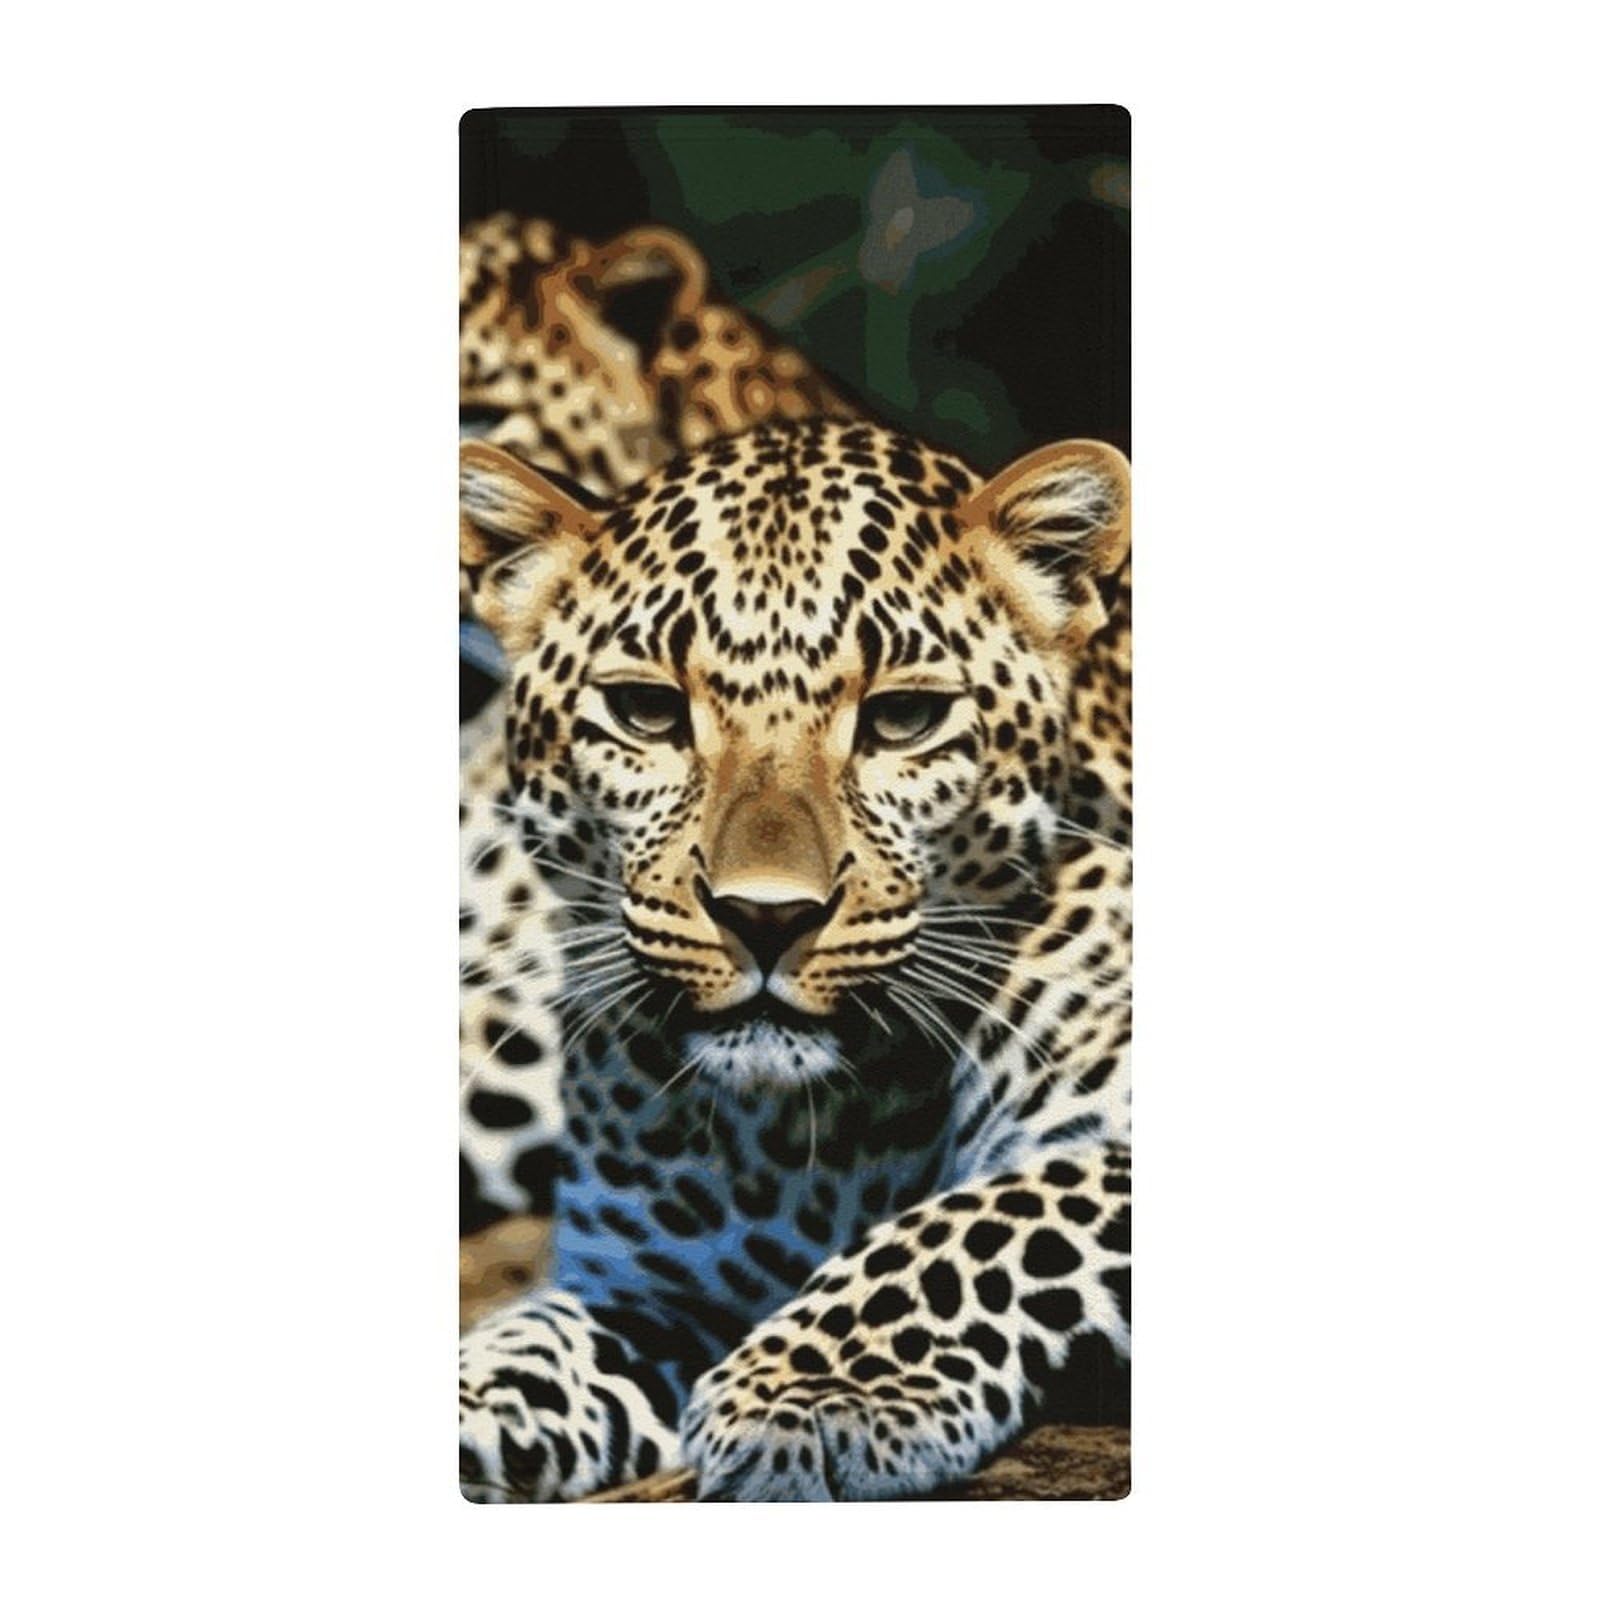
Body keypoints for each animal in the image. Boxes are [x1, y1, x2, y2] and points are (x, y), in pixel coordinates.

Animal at [457, 414, 1132, 1501]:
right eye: (646, 712)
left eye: (903, 719)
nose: (764, 917)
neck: (814, 1136)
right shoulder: (654, 1293)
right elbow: (531, 1342)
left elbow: (994, 1212)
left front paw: (814, 1391)